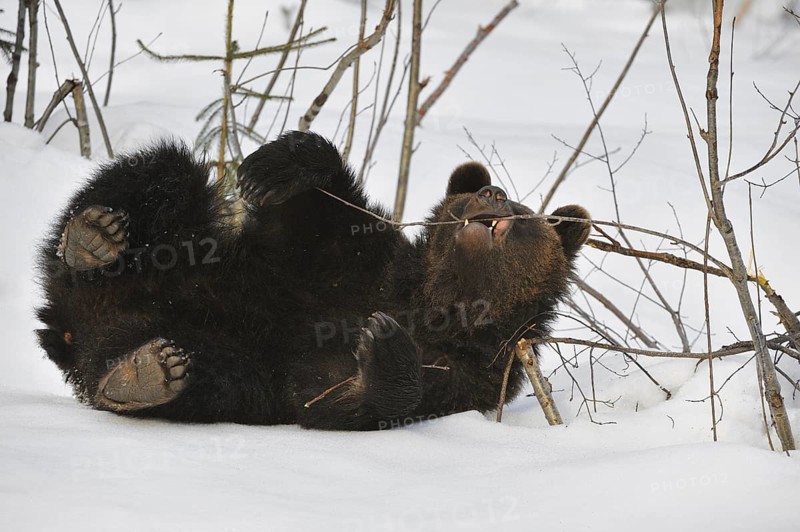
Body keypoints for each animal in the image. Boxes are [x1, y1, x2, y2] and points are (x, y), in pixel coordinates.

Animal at [35, 130, 590, 430]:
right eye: (469, 195)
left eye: (526, 214)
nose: (492, 193)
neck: (439, 301)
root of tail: (66, 327)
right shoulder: (346, 260)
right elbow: (314, 209)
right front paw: (278, 163)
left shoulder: (473, 374)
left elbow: (336, 396)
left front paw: (384, 344)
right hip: (173, 248)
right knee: (161, 171)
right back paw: (93, 238)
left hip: (206, 354)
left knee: (203, 377)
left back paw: (145, 374)